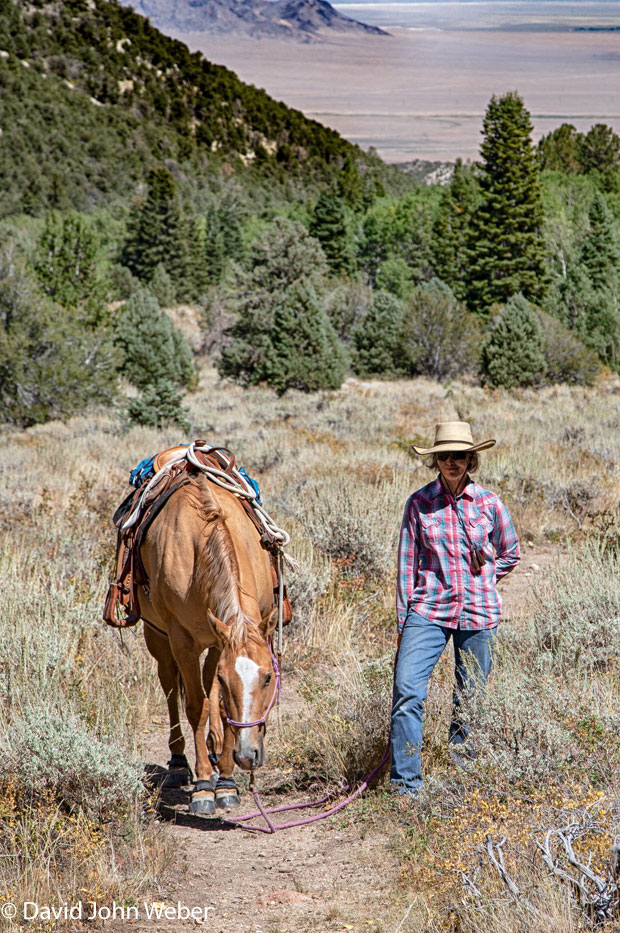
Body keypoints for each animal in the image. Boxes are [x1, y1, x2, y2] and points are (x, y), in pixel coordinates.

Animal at [140, 470, 278, 812]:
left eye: (268, 677)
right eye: (229, 680)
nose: (248, 755)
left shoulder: (219, 638)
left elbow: (218, 702)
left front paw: (226, 781)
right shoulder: (182, 640)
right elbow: (196, 706)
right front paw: (203, 787)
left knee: (203, 685)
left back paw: (216, 752)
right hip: (157, 637)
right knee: (170, 686)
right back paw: (180, 764)